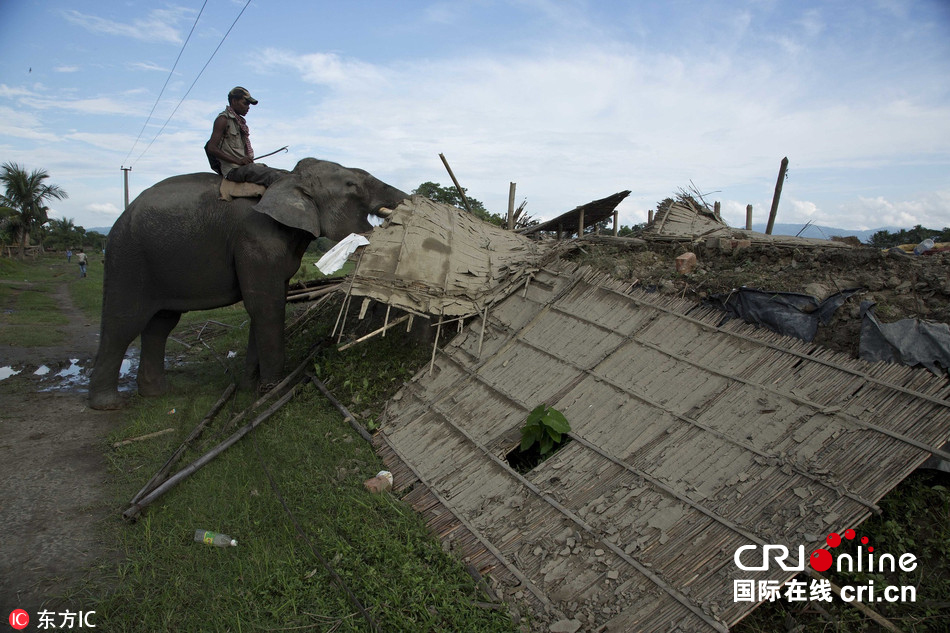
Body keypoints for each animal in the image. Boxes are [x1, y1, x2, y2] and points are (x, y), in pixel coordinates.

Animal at [84, 158, 406, 410]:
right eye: (352, 185)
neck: (285, 177)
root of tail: (121, 217)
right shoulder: (256, 238)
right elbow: (266, 305)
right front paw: (275, 390)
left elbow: (264, 303)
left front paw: (250, 387)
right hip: (129, 258)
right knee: (124, 321)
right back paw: (108, 404)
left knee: (161, 324)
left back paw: (157, 394)